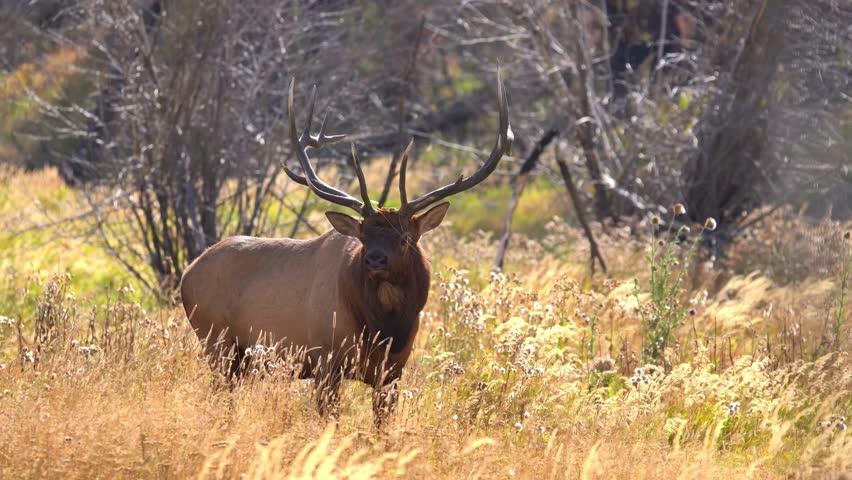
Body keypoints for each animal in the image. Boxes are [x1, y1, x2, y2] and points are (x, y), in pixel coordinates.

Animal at [179, 70, 512, 426]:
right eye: (363, 237)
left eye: (405, 238)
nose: (375, 260)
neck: (384, 330)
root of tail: (186, 274)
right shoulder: (325, 361)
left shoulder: (393, 371)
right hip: (217, 342)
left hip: (239, 359)